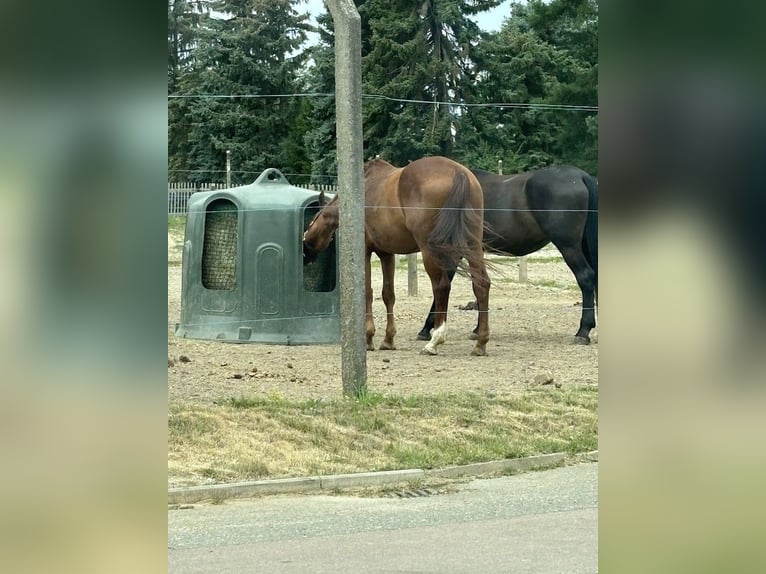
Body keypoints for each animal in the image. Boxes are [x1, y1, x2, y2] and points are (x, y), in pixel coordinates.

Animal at [304, 158, 492, 356]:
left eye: (313, 220)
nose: (305, 249)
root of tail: (459, 173)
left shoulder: (365, 252)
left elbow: (368, 292)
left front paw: (368, 338)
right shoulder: (387, 254)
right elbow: (388, 294)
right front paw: (388, 339)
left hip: (431, 250)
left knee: (441, 287)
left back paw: (434, 341)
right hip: (472, 245)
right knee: (481, 284)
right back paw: (480, 342)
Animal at [420, 166, 600, 346]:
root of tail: (580, 176)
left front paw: (427, 328)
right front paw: (477, 330)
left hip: (569, 246)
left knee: (585, 278)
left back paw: (583, 331)